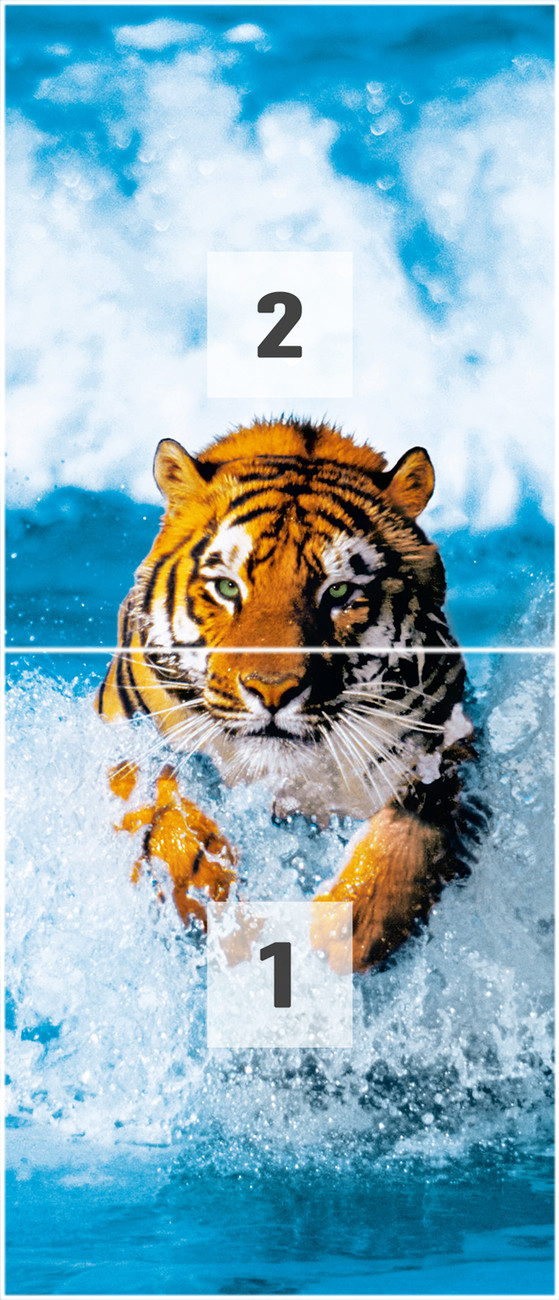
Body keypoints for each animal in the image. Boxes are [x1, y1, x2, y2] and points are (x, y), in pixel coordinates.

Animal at [97, 417, 479, 970]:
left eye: (338, 592)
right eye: (228, 588)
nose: (273, 691)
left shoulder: (442, 752)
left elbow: (410, 839)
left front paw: (344, 932)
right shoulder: (135, 747)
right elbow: (169, 808)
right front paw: (215, 897)